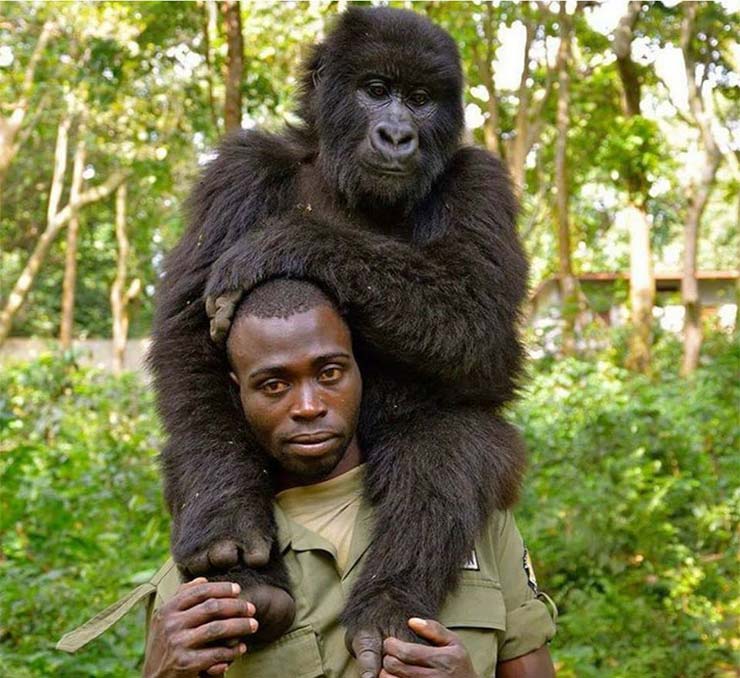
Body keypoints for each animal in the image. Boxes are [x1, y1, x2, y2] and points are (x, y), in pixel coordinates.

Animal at [148, 6, 529, 668]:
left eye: (420, 100)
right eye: (375, 90)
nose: (397, 136)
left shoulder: (480, 180)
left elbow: (482, 325)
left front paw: (289, 243)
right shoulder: (241, 167)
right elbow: (188, 330)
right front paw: (225, 516)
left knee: (449, 445)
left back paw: (389, 606)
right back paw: (247, 578)